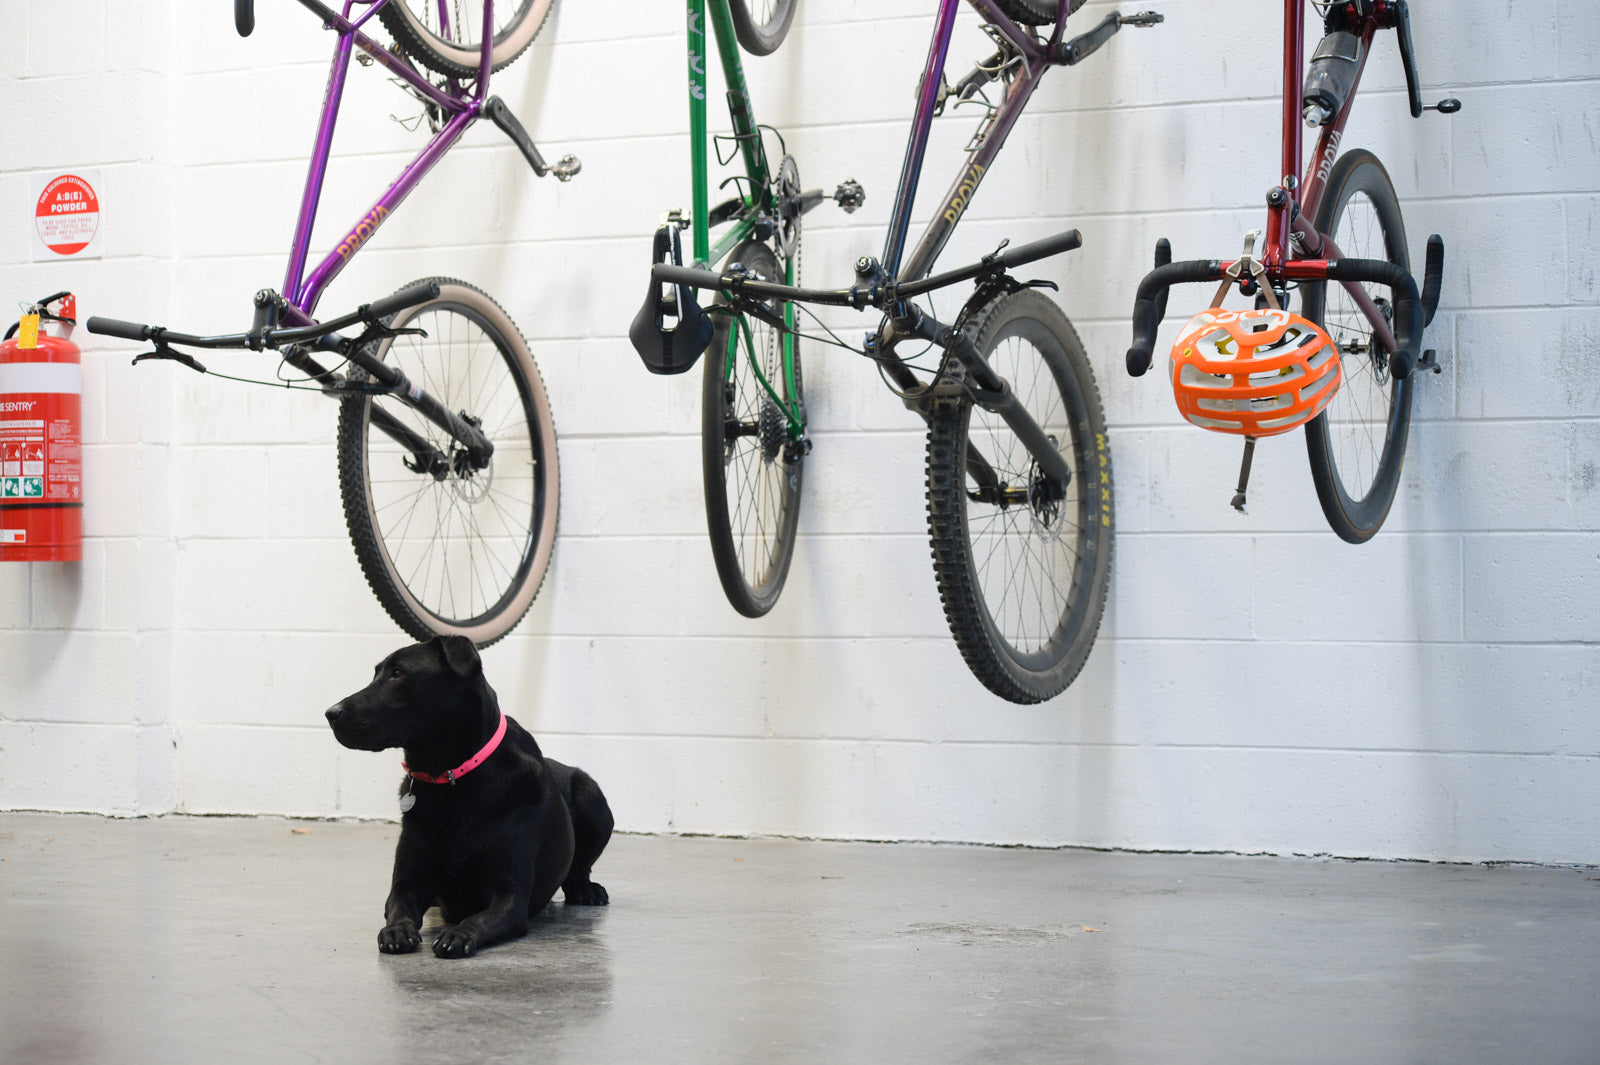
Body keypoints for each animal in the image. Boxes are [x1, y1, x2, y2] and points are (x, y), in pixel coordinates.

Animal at [325, 635, 612, 958]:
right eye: (376, 673)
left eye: (398, 673)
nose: (330, 713)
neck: (449, 780)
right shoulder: (406, 884)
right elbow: (398, 908)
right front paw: (397, 930)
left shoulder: (510, 896)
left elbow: (479, 918)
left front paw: (458, 934)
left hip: (593, 799)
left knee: (580, 869)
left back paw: (586, 889)